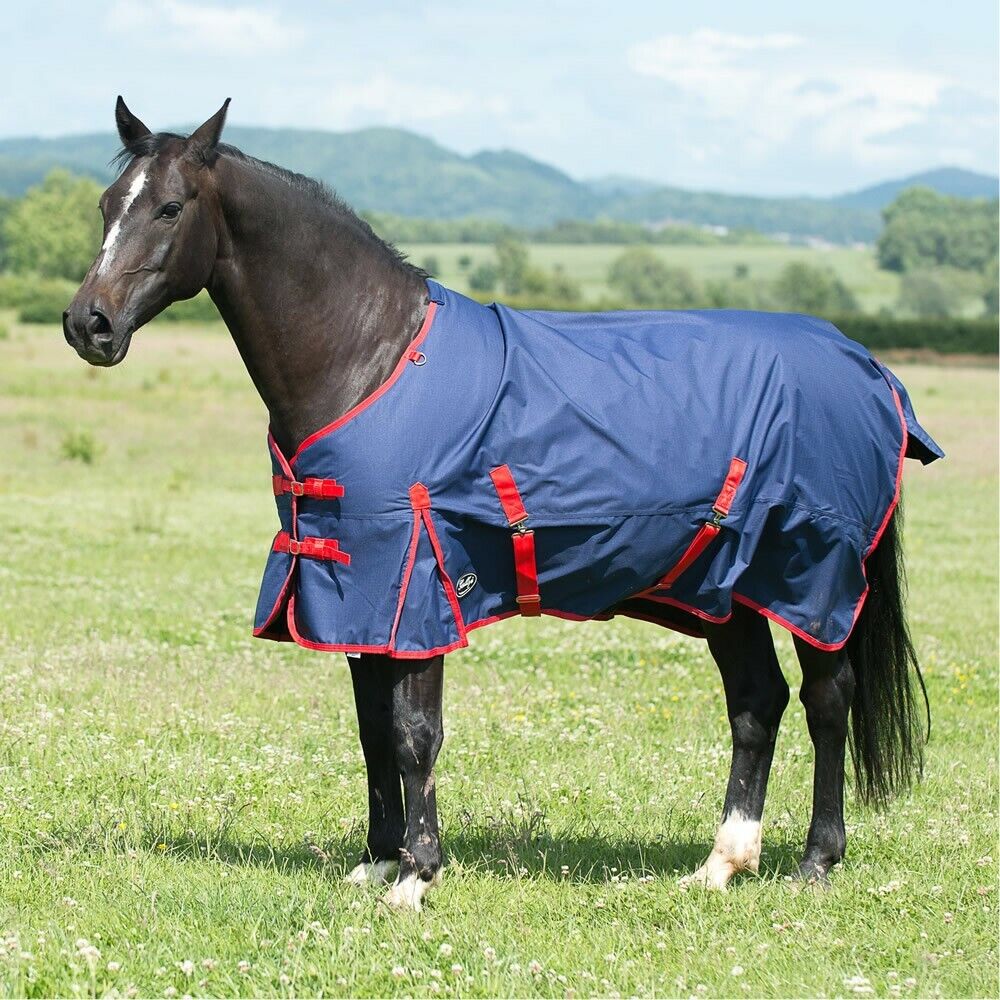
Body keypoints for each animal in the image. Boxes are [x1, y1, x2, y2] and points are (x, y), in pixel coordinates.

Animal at [64, 99, 939, 912]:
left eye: (170, 207)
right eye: (107, 204)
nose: (87, 324)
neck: (371, 356)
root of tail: (867, 367)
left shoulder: (415, 586)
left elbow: (414, 734)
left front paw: (416, 875)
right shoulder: (355, 594)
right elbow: (371, 729)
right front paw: (377, 859)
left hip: (811, 577)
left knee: (828, 700)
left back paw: (816, 861)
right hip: (725, 588)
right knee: (757, 703)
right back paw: (722, 864)